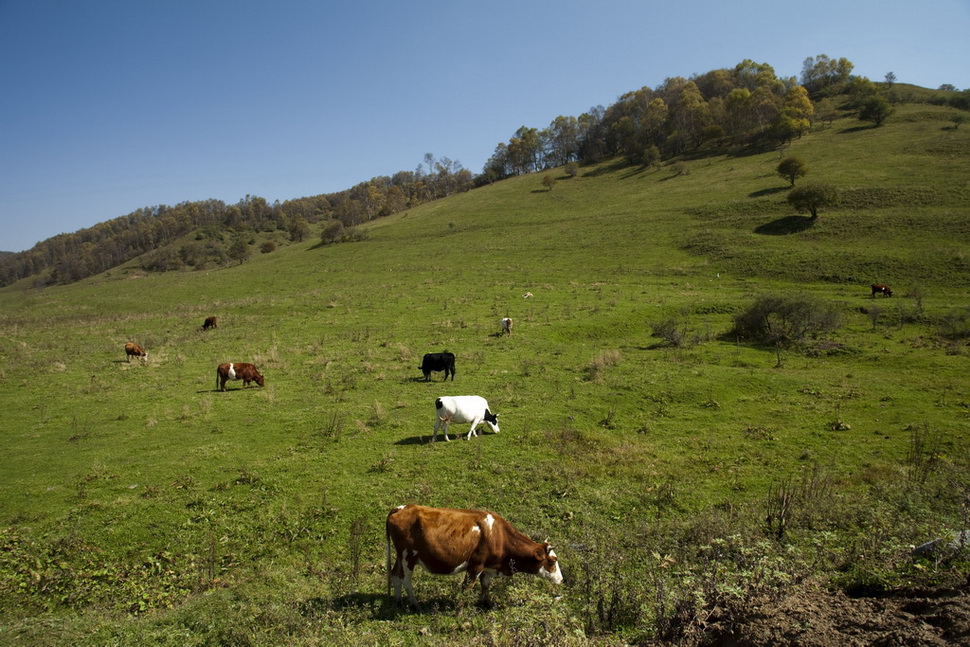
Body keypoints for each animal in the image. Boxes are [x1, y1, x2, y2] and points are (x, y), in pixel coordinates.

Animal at [384, 506, 560, 608]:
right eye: (552, 561)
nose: (561, 579)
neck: (499, 535)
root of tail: (402, 508)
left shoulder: (488, 567)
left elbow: (485, 585)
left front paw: (485, 603)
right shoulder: (475, 565)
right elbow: (467, 587)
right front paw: (460, 608)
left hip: (400, 556)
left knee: (395, 575)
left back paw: (398, 601)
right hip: (408, 556)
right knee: (405, 578)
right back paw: (414, 603)